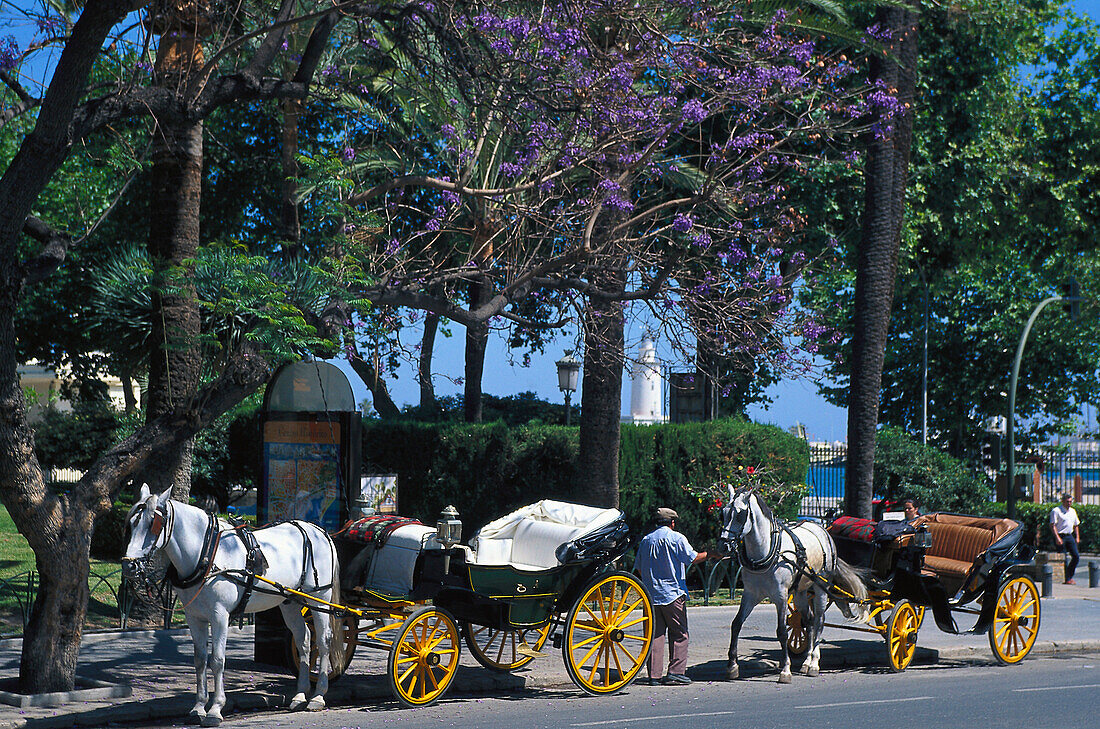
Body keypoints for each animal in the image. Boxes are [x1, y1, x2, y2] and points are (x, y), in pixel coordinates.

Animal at [122, 488, 341, 725]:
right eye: (131, 523)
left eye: (153, 523)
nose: (128, 566)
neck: (206, 553)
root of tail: (319, 531)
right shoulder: (194, 617)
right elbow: (200, 660)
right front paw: (198, 707)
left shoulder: (220, 616)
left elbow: (217, 660)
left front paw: (215, 709)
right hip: (289, 602)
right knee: (304, 640)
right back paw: (300, 695)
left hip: (319, 597)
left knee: (323, 640)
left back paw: (318, 695)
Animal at [721, 490, 866, 686]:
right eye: (723, 513)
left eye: (740, 515)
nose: (723, 544)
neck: (768, 550)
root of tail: (823, 530)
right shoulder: (750, 595)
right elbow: (736, 624)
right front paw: (732, 666)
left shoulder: (781, 596)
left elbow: (782, 631)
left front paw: (785, 670)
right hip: (800, 592)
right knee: (809, 620)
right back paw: (806, 662)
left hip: (821, 587)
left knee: (819, 620)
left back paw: (814, 664)